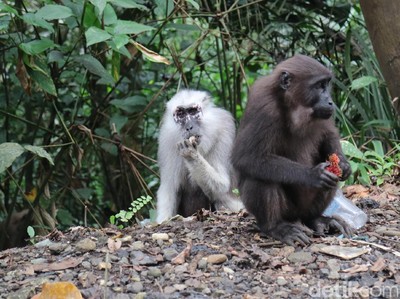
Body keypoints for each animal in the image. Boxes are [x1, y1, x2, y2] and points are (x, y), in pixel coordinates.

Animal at [155, 90, 244, 224]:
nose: (189, 127)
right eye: (181, 114)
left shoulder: (224, 128)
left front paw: (191, 155)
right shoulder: (166, 139)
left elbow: (223, 186)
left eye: (193, 111)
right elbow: (169, 189)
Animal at [233, 54, 352, 246]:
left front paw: (343, 163)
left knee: (330, 183)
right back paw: (275, 227)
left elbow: (328, 135)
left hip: (304, 208)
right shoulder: (264, 107)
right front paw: (313, 175)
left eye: (326, 84)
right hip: (288, 211)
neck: (294, 106)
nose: (330, 101)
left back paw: (315, 218)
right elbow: (247, 158)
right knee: (260, 176)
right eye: (319, 85)